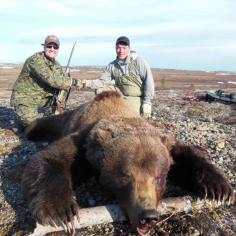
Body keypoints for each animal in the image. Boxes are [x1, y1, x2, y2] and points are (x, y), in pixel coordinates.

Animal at [21, 91, 234, 236]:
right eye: (126, 176)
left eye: (159, 177)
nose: (148, 215)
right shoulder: (85, 144)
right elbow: (50, 159)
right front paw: (60, 211)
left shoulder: (165, 144)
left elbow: (187, 156)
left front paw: (219, 189)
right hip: (60, 121)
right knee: (38, 125)